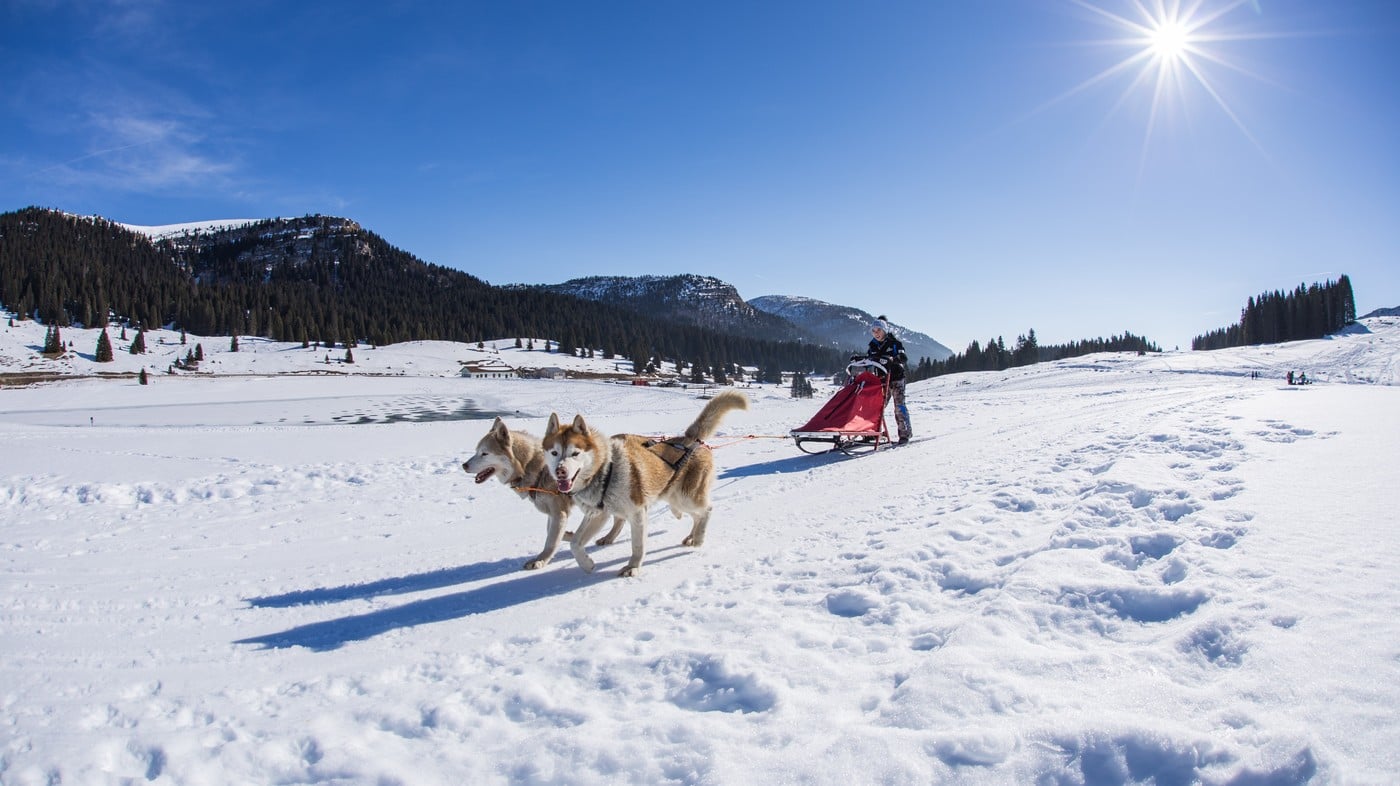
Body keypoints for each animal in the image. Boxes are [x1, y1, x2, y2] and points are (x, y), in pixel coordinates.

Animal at [464, 417, 624, 568]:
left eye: (484, 453)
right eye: (476, 451)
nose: (464, 465)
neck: (537, 469)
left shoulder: (559, 512)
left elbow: (551, 541)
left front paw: (540, 560)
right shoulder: (553, 513)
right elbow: (554, 533)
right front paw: (569, 535)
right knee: (619, 520)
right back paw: (608, 538)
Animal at [540, 386, 750, 577]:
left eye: (575, 453)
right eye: (555, 453)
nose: (560, 471)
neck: (606, 470)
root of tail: (692, 440)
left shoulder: (637, 513)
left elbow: (637, 545)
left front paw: (633, 567)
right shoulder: (597, 514)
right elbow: (575, 543)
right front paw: (587, 564)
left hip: (686, 498)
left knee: (707, 510)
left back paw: (698, 538)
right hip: (676, 499)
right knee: (697, 516)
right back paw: (692, 536)